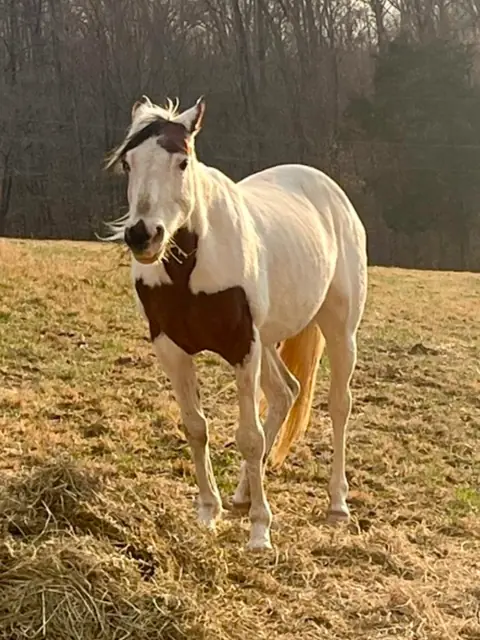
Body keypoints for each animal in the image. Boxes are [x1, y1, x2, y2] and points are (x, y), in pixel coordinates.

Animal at [105, 95, 368, 551]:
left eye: (182, 162)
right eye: (128, 162)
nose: (143, 236)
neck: (190, 269)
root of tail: (329, 191)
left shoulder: (242, 347)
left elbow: (249, 436)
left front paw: (260, 531)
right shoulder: (173, 349)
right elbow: (196, 427)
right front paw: (209, 512)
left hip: (339, 332)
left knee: (338, 405)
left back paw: (336, 504)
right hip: (269, 340)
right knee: (285, 393)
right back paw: (244, 494)